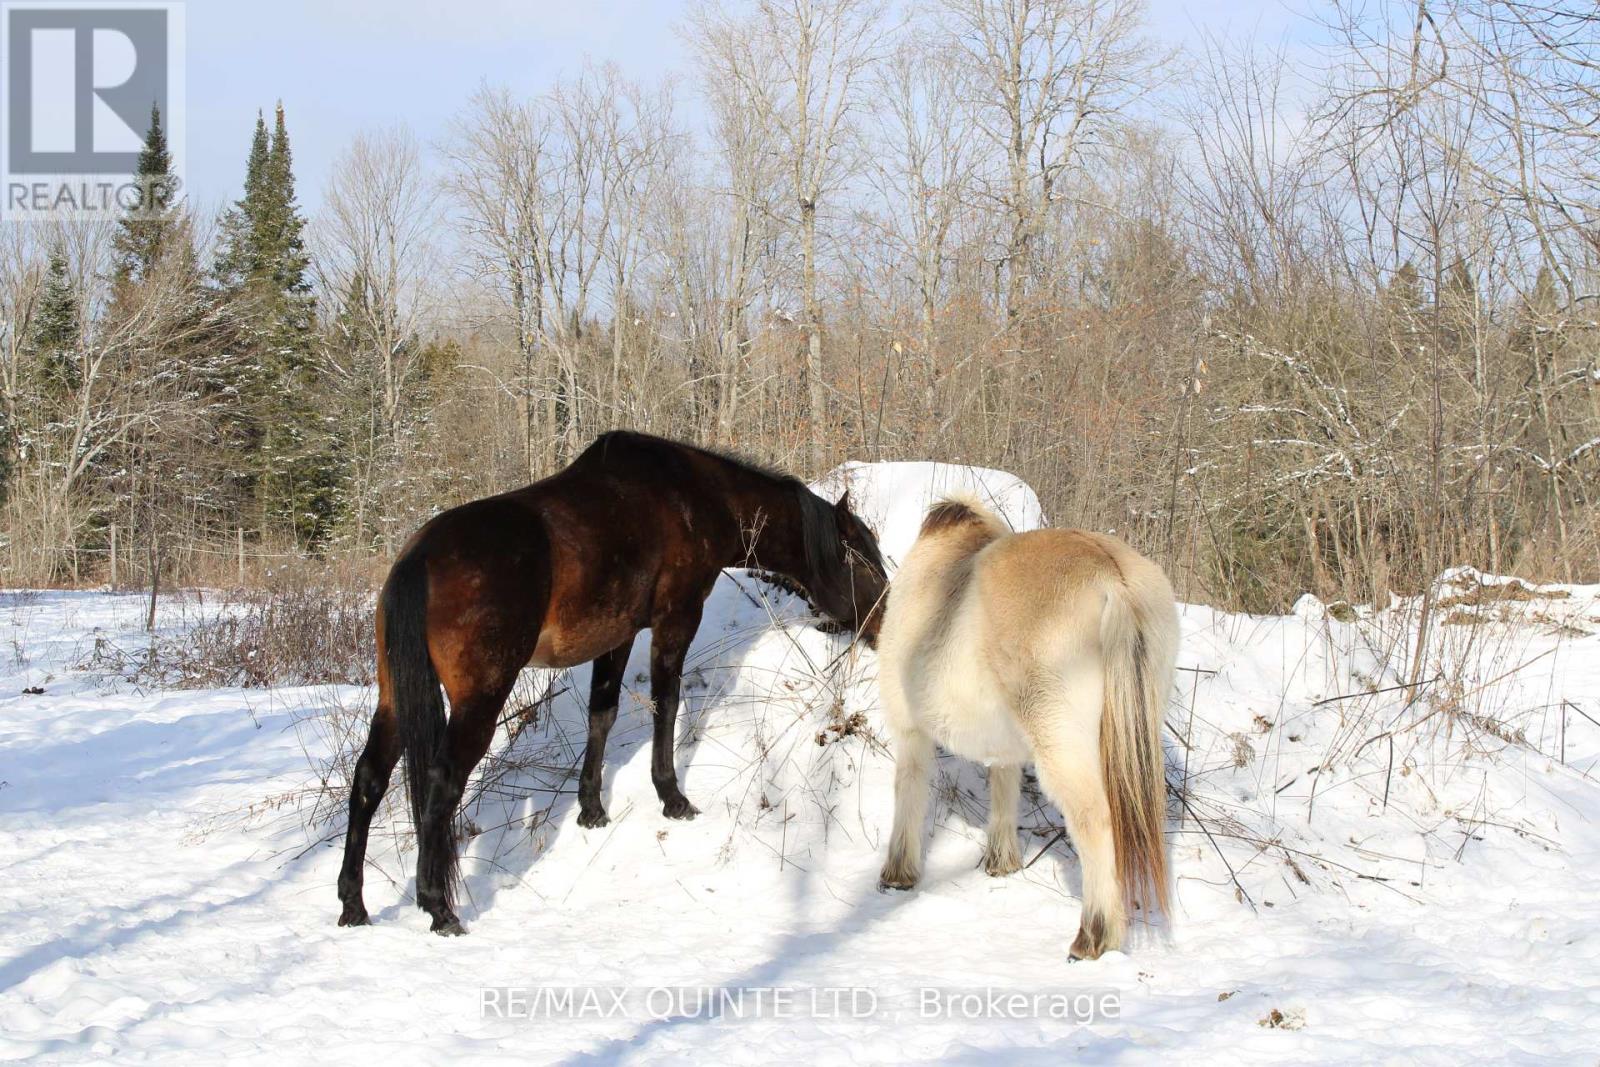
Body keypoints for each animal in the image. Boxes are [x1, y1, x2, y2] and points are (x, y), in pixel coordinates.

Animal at [336, 431, 889, 934]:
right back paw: (439, 907)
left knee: (368, 778)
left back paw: (353, 904)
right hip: (481, 698)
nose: (886, 622)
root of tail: (419, 558)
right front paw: (672, 797)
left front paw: (592, 809)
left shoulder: (615, 637)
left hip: (394, 699)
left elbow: (602, 714)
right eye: (861, 562)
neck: (698, 495)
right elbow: (666, 704)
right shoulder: (675, 620)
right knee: (442, 781)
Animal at [876, 495, 1177, 966]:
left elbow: (909, 791)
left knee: (1095, 820)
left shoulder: (910, 731)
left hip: (1063, 745)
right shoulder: (1005, 749)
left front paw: (898, 873)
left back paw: (1093, 936)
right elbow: (1004, 789)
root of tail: (1112, 576)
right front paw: (1002, 863)